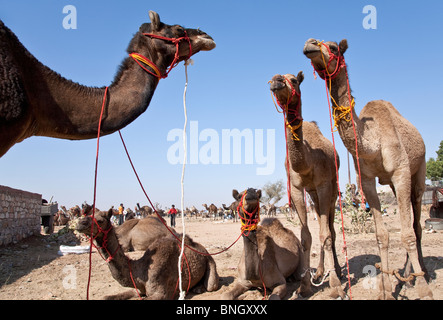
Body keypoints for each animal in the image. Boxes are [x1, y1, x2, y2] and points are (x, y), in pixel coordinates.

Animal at [77, 208, 221, 300]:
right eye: (89, 215)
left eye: (101, 220)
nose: (79, 223)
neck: (139, 271)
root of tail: (203, 249)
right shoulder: (138, 289)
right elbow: (105, 297)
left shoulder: (161, 293)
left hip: (211, 264)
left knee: (211, 285)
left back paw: (198, 289)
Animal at [268, 73, 346, 300]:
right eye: (274, 78)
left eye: (294, 80)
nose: (276, 81)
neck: (307, 161)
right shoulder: (296, 188)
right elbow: (305, 237)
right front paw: (304, 286)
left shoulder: (323, 184)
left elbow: (326, 235)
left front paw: (336, 286)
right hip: (313, 195)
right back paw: (319, 272)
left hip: (332, 192)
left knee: (330, 229)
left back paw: (337, 271)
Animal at [306, 38, 434, 300]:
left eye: (333, 47)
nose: (309, 44)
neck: (373, 142)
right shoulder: (366, 179)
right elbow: (381, 235)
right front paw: (384, 290)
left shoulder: (401, 173)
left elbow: (407, 233)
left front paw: (424, 290)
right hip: (394, 186)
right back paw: (406, 275)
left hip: (419, 171)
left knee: (416, 225)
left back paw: (419, 274)